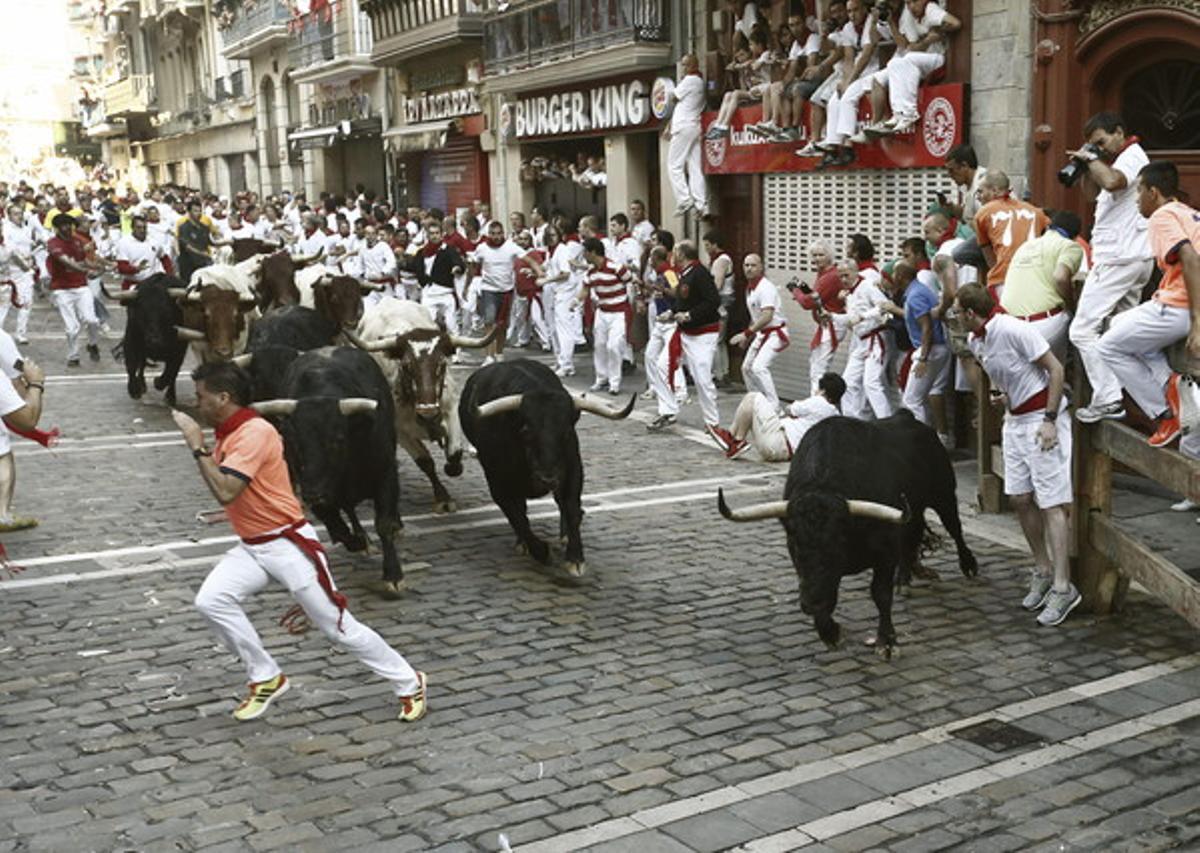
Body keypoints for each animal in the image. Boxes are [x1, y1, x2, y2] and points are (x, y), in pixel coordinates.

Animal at [253, 347, 408, 599]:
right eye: (294, 442)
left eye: (337, 439)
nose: (313, 493)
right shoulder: (314, 489)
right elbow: (338, 528)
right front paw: (358, 542)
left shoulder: (386, 473)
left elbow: (384, 524)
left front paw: (393, 576)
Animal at [343, 299, 492, 513]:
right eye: (406, 366)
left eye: (441, 365)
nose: (428, 414)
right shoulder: (400, 431)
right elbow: (425, 462)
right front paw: (443, 498)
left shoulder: (450, 410)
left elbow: (454, 453)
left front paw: (452, 467)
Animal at [456, 359, 638, 580]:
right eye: (526, 430)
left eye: (567, 431)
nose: (547, 479)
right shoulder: (497, 484)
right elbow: (518, 517)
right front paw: (541, 551)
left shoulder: (573, 471)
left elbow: (571, 508)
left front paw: (575, 558)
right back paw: (524, 543)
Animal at [710, 412, 974, 662]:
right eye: (793, 542)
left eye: (835, 542)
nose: (809, 603)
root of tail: (910, 419)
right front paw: (830, 633)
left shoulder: (885, 552)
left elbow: (881, 594)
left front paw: (887, 642)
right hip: (916, 509)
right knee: (913, 537)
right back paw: (904, 579)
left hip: (943, 495)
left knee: (955, 528)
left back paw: (968, 566)